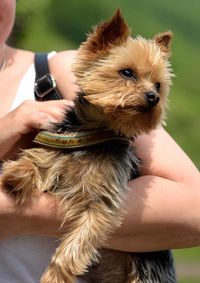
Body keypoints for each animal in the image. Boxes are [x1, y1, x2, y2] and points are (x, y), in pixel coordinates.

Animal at [1, 9, 177, 283]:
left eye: (158, 85)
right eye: (127, 73)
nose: (153, 97)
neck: (93, 134)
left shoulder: (102, 203)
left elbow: (76, 245)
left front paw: (54, 277)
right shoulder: (58, 145)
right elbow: (40, 158)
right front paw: (19, 174)